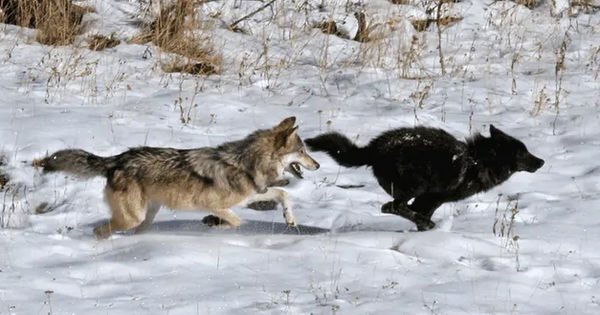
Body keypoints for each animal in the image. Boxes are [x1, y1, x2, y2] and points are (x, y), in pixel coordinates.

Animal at [32, 116, 322, 239]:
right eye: (302, 151)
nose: (318, 164)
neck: (247, 164)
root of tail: (116, 159)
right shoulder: (214, 204)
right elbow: (237, 222)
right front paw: (214, 226)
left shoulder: (250, 196)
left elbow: (284, 193)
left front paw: (290, 219)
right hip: (132, 216)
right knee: (99, 230)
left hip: (145, 217)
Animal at [304, 125, 544, 232]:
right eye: (523, 153)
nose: (541, 161)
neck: (479, 161)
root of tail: (373, 148)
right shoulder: (432, 198)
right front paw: (426, 226)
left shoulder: (428, 201)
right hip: (415, 187)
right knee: (391, 206)